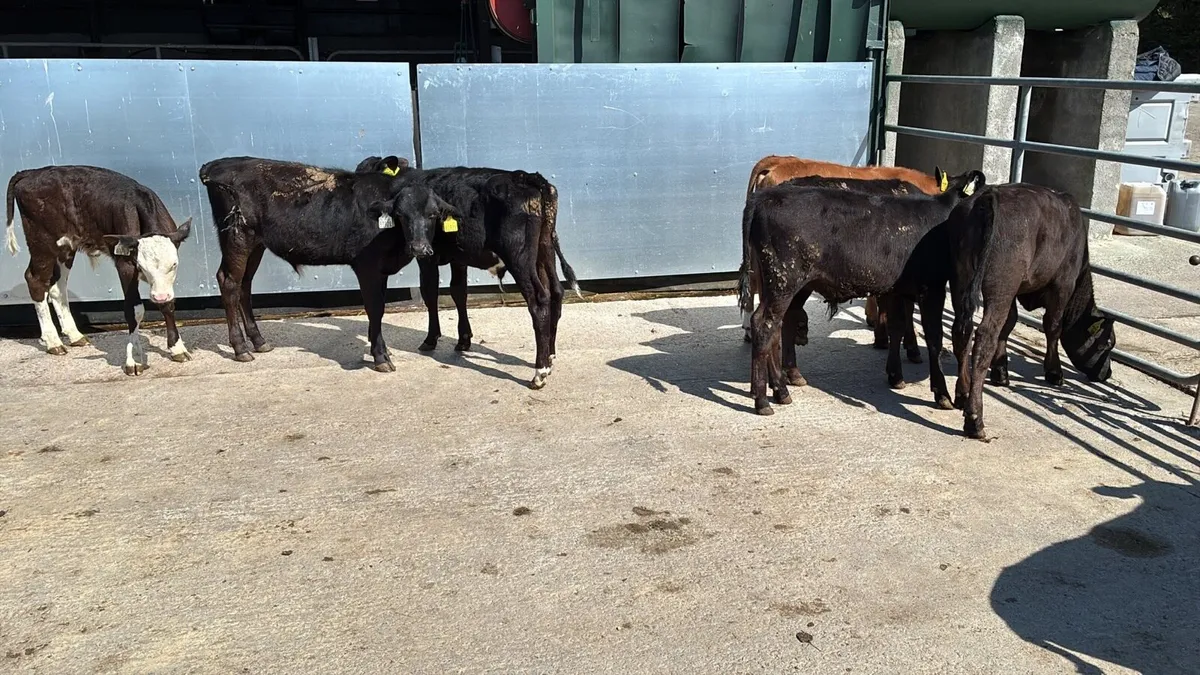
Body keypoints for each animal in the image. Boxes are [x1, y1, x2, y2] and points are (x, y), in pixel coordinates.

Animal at [5, 166, 192, 375]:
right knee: (36, 280)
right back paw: (53, 341)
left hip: (65, 247)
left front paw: (177, 348)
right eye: (140, 266)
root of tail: (32, 172)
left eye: (174, 264)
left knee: (57, 287)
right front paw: (134, 360)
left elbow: (168, 304)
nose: (158, 296)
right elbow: (134, 309)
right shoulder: (124, 265)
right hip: (42, 241)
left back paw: (75, 335)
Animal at [198, 156, 455, 372]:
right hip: (237, 236)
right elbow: (375, 309)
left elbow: (379, 308)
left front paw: (379, 348)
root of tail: (217, 164)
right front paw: (381, 357)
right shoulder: (367, 266)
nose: (419, 248)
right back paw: (240, 348)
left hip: (256, 243)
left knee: (245, 284)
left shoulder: (381, 270)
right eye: (401, 214)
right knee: (229, 282)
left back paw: (259, 341)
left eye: (433, 214)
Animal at [356, 156, 582, 390]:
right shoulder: (459, 257)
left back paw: (540, 371)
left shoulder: (426, 255)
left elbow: (430, 293)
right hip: (544, 249)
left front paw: (431, 339)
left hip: (519, 256)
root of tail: (526, 177)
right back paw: (550, 356)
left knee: (538, 300)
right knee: (555, 291)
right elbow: (459, 292)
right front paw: (464, 339)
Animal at [948, 184, 1116, 440]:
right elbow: (1053, 326)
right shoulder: (1062, 284)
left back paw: (963, 393)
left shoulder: (1018, 288)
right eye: (1107, 344)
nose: (1107, 374)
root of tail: (988, 195)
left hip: (961, 279)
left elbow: (1009, 323)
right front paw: (1054, 371)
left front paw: (1001, 371)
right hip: (1001, 283)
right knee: (984, 337)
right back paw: (975, 419)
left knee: (962, 331)